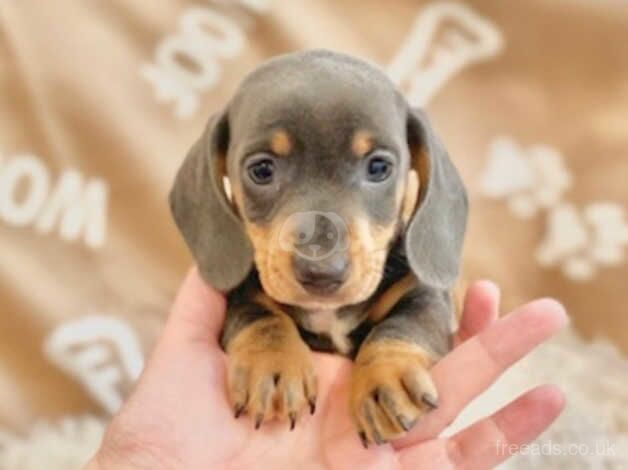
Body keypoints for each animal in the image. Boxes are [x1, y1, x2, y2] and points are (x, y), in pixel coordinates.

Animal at [169, 49, 468, 446]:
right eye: (262, 170)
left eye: (378, 167)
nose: (322, 272)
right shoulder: (242, 292)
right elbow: (259, 316)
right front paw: (273, 363)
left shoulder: (425, 295)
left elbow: (405, 323)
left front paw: (385, 377)